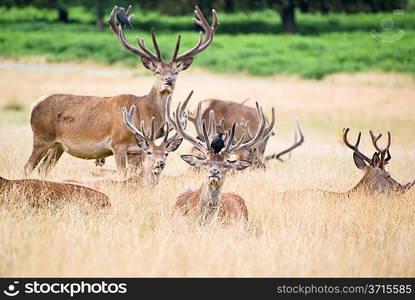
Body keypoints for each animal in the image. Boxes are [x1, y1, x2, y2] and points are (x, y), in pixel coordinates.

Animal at [24, 4, 219, 176]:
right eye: (157, 71)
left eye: (176, 72)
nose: (169, 81)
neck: (142, 112)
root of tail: (34, 104)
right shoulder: (117, 144)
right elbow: (122, 174)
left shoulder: (138, 151)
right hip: (41, 137)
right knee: (28, 166)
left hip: (57, 146)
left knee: (43, 169)